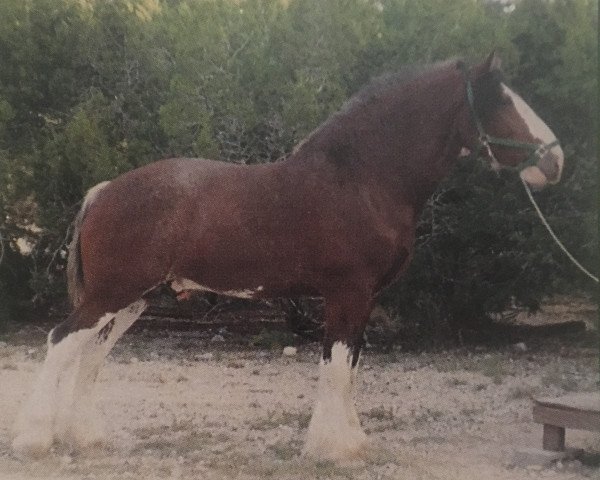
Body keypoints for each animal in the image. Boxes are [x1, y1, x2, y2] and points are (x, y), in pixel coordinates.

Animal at [11, 52, 564, 462]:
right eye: (500, 100)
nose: (556, 160)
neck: (361, 179)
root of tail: (103, 191)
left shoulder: (359, 299)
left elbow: (350, 365)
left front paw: (349, 442)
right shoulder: (346, 293)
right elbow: (337, 365)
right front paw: (333, 449)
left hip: (133, 299)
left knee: (90, 354)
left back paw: (85, 438)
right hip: (113, 293)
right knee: (60, 342)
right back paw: (34, 439)